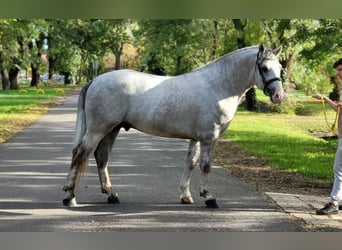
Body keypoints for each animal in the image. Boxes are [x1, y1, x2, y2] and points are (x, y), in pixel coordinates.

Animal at [62, 44, 284, 208]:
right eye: (265, 68)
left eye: (280, 68)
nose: (279, 96)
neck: (218, 85)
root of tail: (95, 80)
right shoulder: (209, 137)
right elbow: (205, 166)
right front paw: (209, 197)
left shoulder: (196, 138)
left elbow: (190, 163)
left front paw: (186, 196)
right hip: (98, 130)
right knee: (80, 153)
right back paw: (69, 197)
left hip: (112, 129)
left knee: (101, 157)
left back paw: (111, 194)